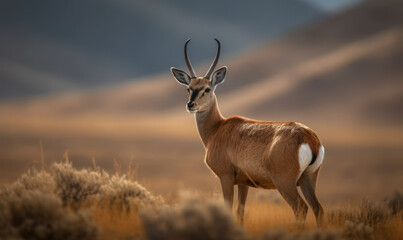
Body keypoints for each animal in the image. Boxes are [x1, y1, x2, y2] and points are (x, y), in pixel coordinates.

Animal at [170, 39, 326, 225]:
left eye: (207, 89)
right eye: (189, 88)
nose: (190, 105)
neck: (218, 128)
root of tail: (308, 137)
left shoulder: (226, 177)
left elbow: (229, 208)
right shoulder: (243, 183)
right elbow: (240, 211)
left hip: (285, 184)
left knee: (301, 208)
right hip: (307, 179)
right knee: (318, 209)